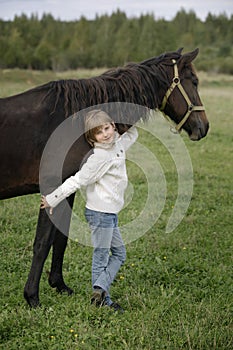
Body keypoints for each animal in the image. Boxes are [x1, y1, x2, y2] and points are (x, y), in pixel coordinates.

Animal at [0, 47, 208, 306]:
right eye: (194, 82)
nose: (204, 127)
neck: (71, 118)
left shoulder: (68, 188)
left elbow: (61, 239)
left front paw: (59, 285)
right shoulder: (50, 189)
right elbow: (42, 242)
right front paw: (32, 297)